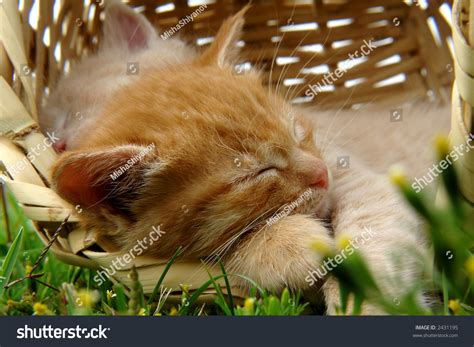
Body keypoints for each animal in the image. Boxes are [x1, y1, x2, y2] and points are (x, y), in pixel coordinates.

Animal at [40, 1, 440, 314]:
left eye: (297, 131)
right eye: (255, 175)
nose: (322, 173)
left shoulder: (355, 174)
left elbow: (373, 231)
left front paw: (369, 304)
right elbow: (220, 254)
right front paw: (291, 244)